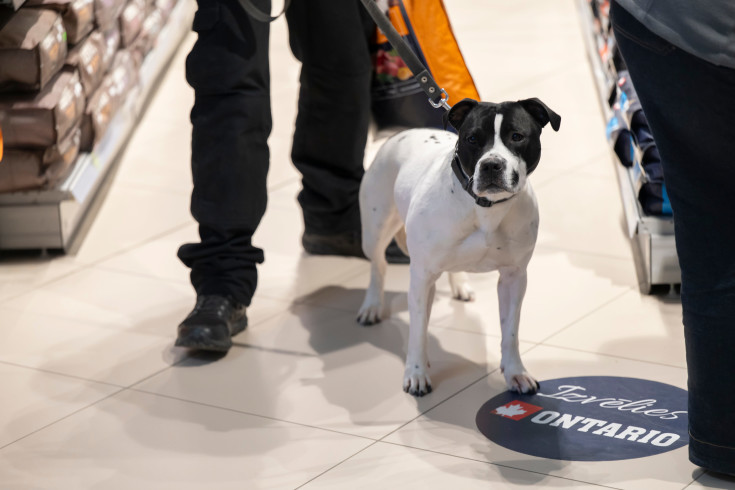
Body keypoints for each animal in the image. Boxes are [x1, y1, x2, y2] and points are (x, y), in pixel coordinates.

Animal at [357, 98, 561, 397]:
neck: (486, 208)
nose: (491, 165)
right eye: (472, 139)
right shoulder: (421, 278)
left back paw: (460, 285)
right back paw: (372, 305)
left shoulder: (514, 277)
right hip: (375, 231)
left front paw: (515, 372)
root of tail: (398, 134)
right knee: (377, 267)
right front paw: (416, 373)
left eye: (517, 136)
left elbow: (510, 331)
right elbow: (418, 331)